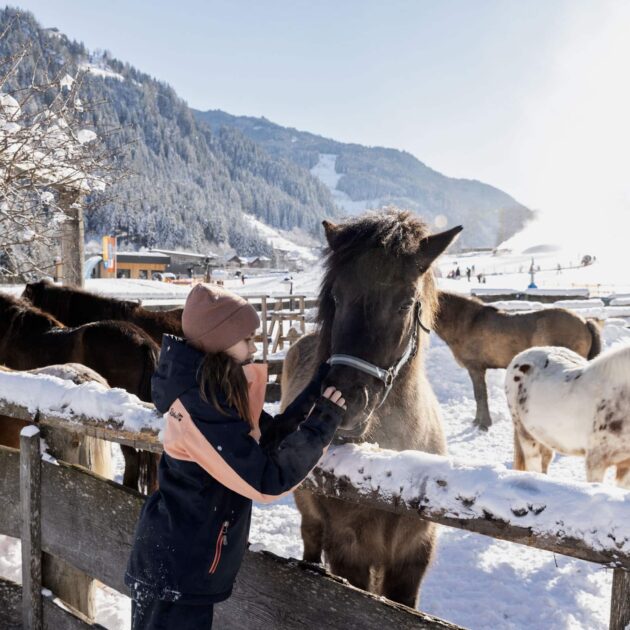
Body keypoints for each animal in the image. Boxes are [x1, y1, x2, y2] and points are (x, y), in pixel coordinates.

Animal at [284, 214, 462, 612]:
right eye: (336, 297)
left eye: (405, 303)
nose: (344, 399)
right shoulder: (350, 553)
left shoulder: (414, 556)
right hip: (311, 520)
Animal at [434, 294, 604, 432]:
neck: (468, 322)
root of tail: (584, 322)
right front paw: (477, 422)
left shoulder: (476, 369)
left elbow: (480, 395)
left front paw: (483, 424)